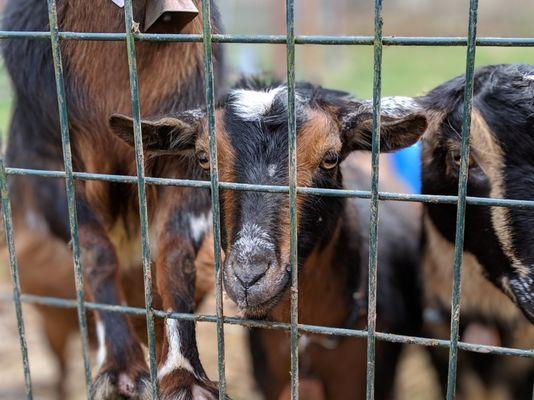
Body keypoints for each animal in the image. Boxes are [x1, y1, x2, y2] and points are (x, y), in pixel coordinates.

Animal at [2, 1, 224, 398]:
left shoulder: (187, 159)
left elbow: (176, 257)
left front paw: (185, 375)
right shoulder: (45, 156)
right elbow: (96, 252)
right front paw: (122, 370)